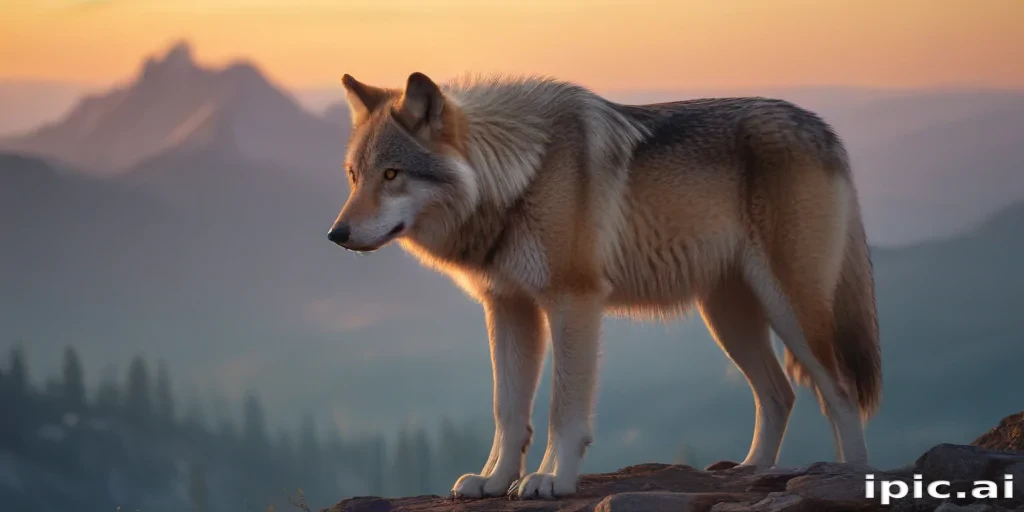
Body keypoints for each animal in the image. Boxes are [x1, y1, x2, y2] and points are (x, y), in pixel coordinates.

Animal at [326, 72, 881, 500]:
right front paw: (495, 481)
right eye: (354, 176)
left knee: (840, 393)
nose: (336, 235)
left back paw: (846, 476)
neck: (519, 178)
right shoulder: (509, 308)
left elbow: (562, 408)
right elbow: (508, 409)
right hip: (727, 318)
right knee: (779, 393)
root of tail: (823, 129)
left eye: (392, 174)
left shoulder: (574, 303)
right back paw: (751, 470)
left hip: (790, 311)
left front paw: (550, 480)